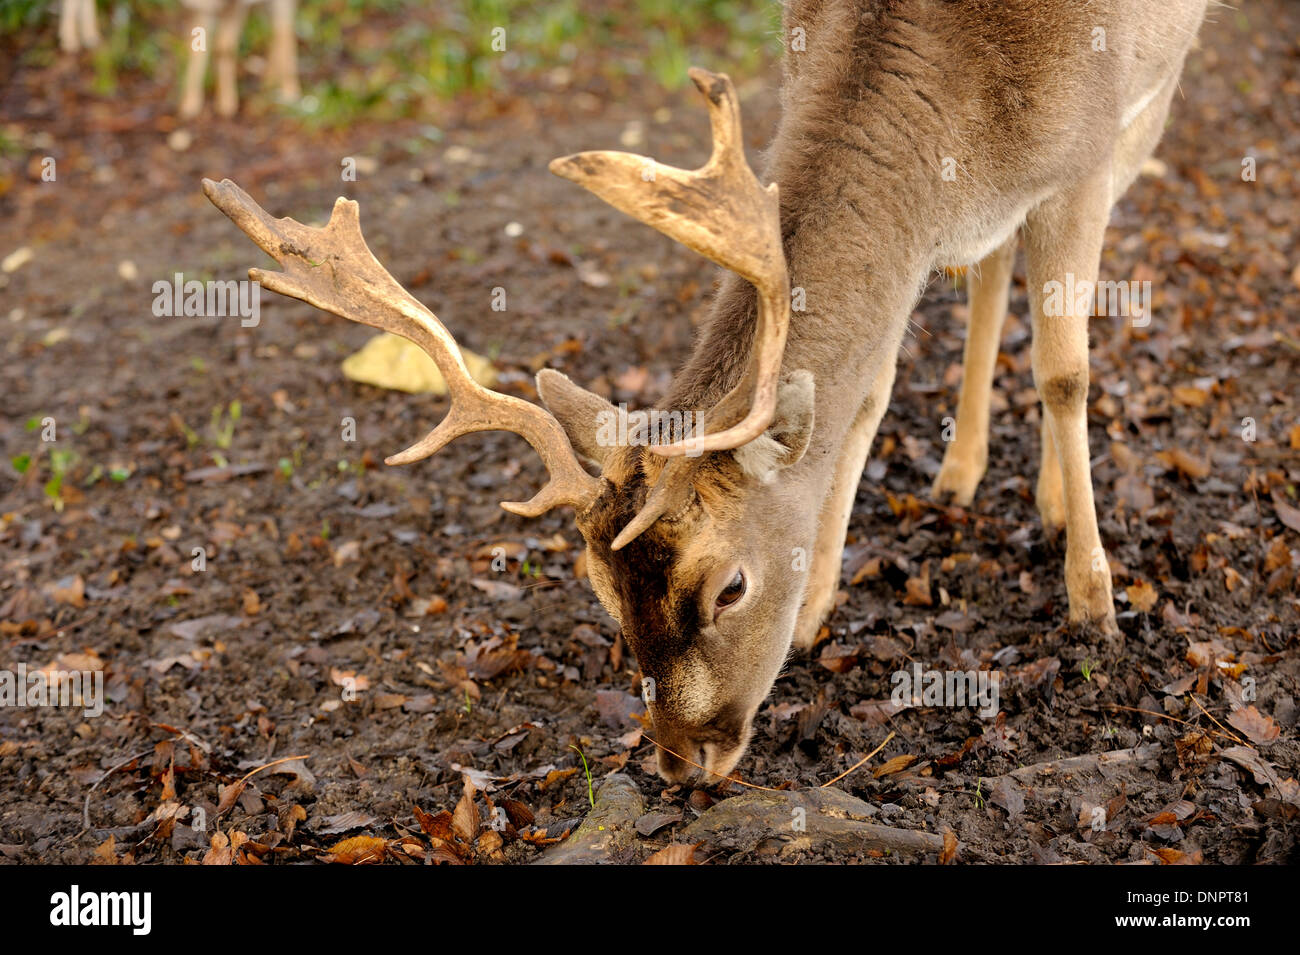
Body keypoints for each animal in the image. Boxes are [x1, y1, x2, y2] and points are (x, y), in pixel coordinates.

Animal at [202, 1, 1206, 784]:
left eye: (730, 588)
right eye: (600, 589)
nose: (683, 761)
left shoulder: (1089, 155)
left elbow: (1066, 372)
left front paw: (1095, 603)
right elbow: (866, 395)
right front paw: (817, 608)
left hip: (1155, 99)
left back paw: (1050, 507)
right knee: (992, 268)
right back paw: (960, 472)